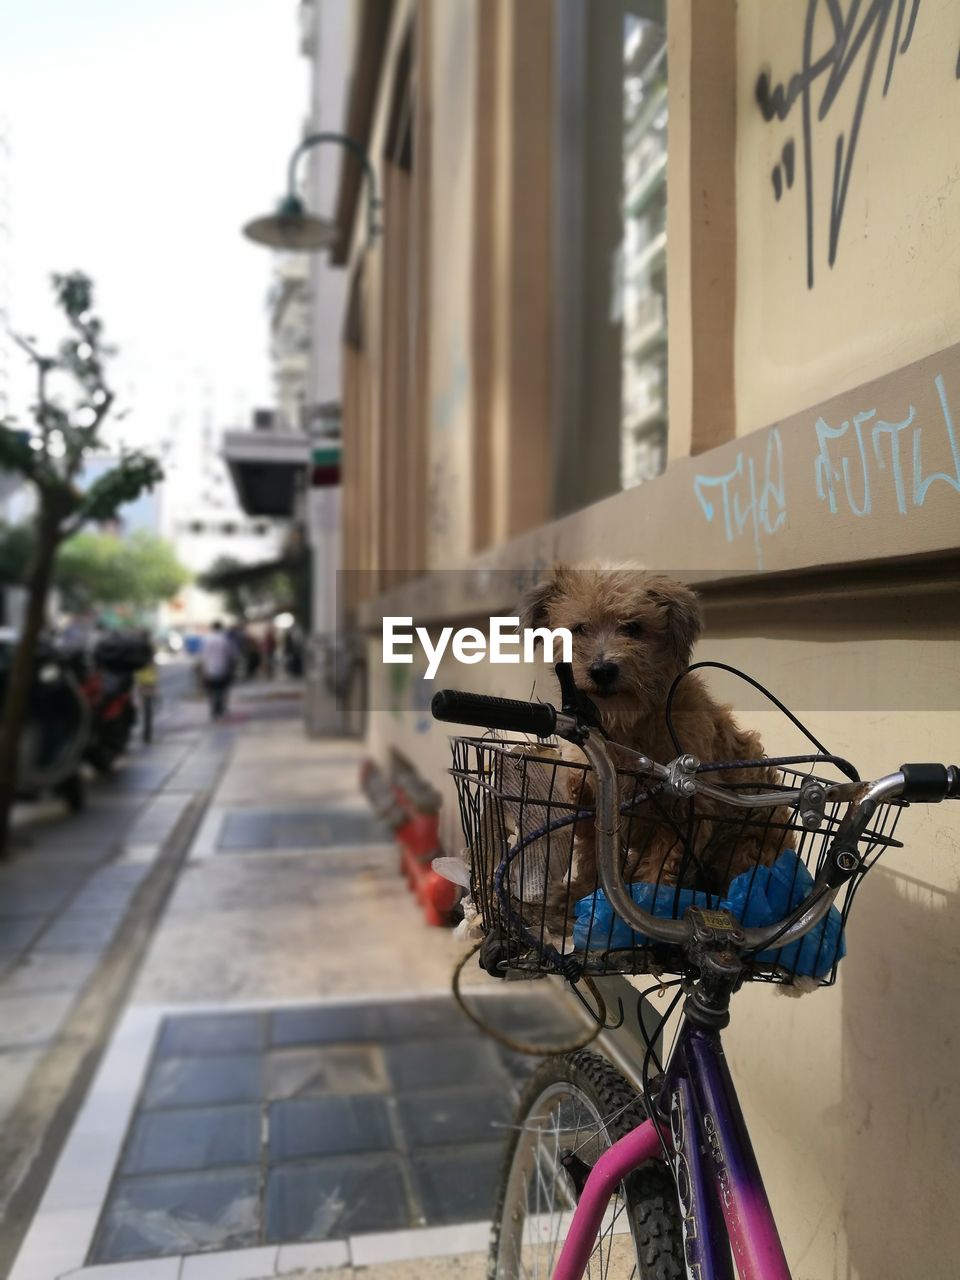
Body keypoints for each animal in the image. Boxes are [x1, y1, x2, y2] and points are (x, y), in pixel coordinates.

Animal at [522, 568, 783, 921]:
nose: (602, 670)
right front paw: (583, 892)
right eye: (579, 628)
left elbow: (659, 871)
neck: (623, 726)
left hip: (744, 853)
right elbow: (592, 854)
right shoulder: (592, 801)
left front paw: (641, 910)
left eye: (633, 627)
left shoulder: (683, 816)